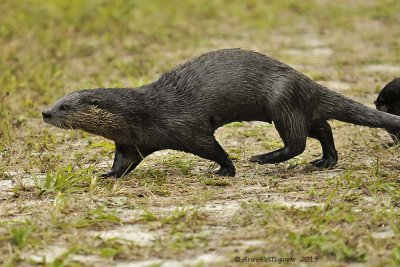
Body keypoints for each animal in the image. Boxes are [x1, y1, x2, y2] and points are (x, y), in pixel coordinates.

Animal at [41, 48, 400, 178]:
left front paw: (225, 170)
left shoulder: (187, 128)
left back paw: (263, 158)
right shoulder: (131, 142)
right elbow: (123, 162)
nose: (45, 112)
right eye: (57, 100)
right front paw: (107, 175)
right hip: (296, 107)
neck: (143, 115)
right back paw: (325, 161)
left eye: (65, 106)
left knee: (296, 141)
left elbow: (213, 148)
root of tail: (305, 81)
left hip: (282, 103)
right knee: (323, 127)